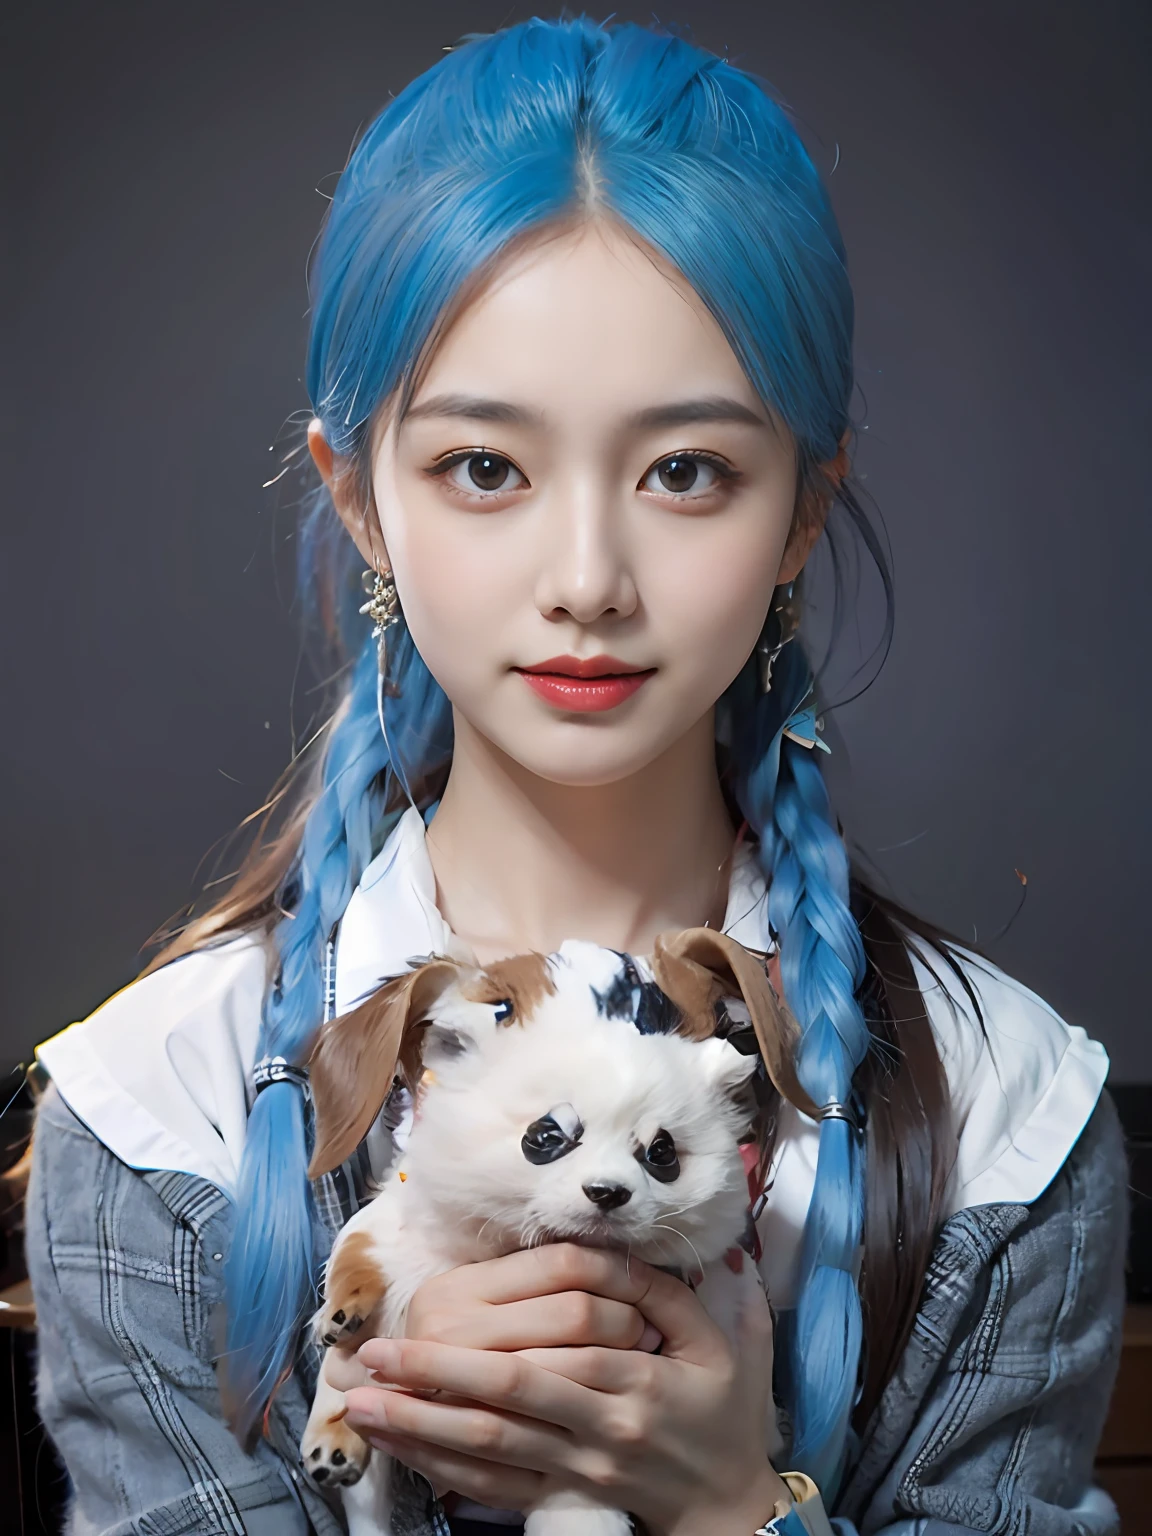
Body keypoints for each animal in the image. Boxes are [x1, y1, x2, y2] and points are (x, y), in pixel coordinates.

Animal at [302, 921, 817, 1536]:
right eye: (545, 1137)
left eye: (662, 1154)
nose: (608, 1191)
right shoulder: (396, 1231)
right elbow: (355, 1254)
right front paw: (340, 1319)